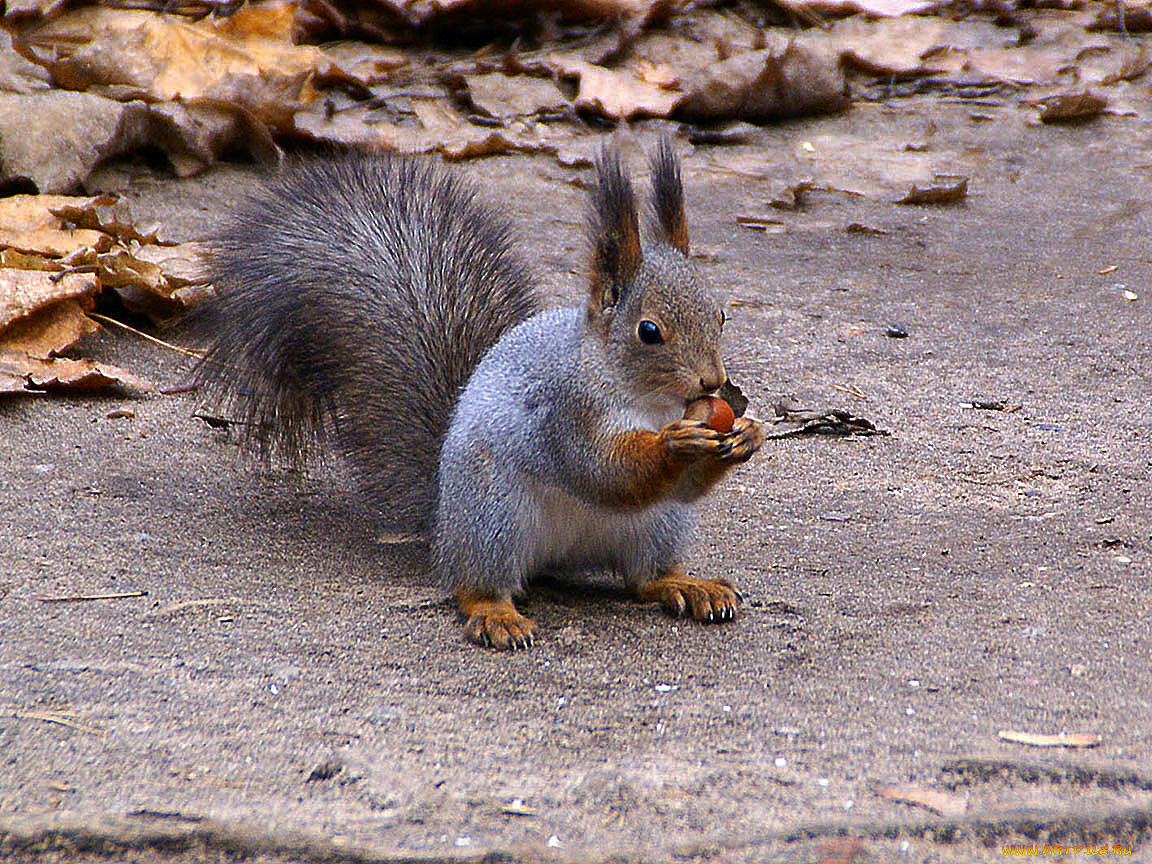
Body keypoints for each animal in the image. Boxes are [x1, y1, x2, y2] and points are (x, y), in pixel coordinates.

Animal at [196, 144, 764, 649]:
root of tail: (444, 523)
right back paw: (496, 615)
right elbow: (604, 470)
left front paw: (747, 434)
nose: (713, 383)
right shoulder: (565, 411)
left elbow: (680, 486)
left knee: (645, 577)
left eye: (720, 315)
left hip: (657, 525)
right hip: (492, 515)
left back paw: (688, 584)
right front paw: (674, 443)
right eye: (649, 331)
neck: (644, 398)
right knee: (474, 586)